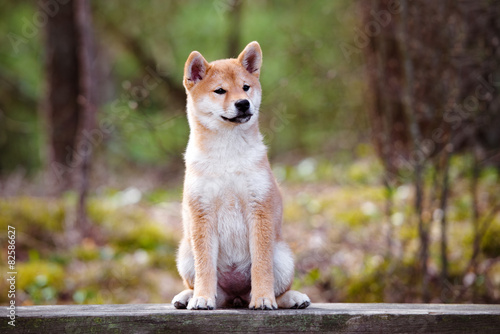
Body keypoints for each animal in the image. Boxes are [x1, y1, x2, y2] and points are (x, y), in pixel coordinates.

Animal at [172, 41, 310, 310]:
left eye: (246, 87)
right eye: (220, 91)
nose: (243, 103)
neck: (228, 154)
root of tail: (236, 296)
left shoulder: (259, 209)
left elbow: (261, 266)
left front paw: (263, 298)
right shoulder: (202, 212)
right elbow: (205, 267)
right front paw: (202, 298)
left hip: (283, 257)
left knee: (280, 289)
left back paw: (292, 298)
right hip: (185, 254)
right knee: (205, 288)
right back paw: (188, 297)